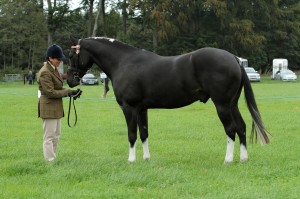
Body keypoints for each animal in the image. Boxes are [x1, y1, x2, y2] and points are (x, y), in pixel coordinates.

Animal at [67, 36, 270, 164]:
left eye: (71, 55)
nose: (69, 79)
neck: (124, 62)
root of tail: (234, 59)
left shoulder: (129, 108)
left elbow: (132, 134)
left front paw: (131, 160)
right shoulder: (141, 109)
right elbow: (144, 133)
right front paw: (146, 159)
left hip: (222, 105)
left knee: (231, 129)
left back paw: (227, 159)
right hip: (232, 104)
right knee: (241, 127)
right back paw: (243, 158)